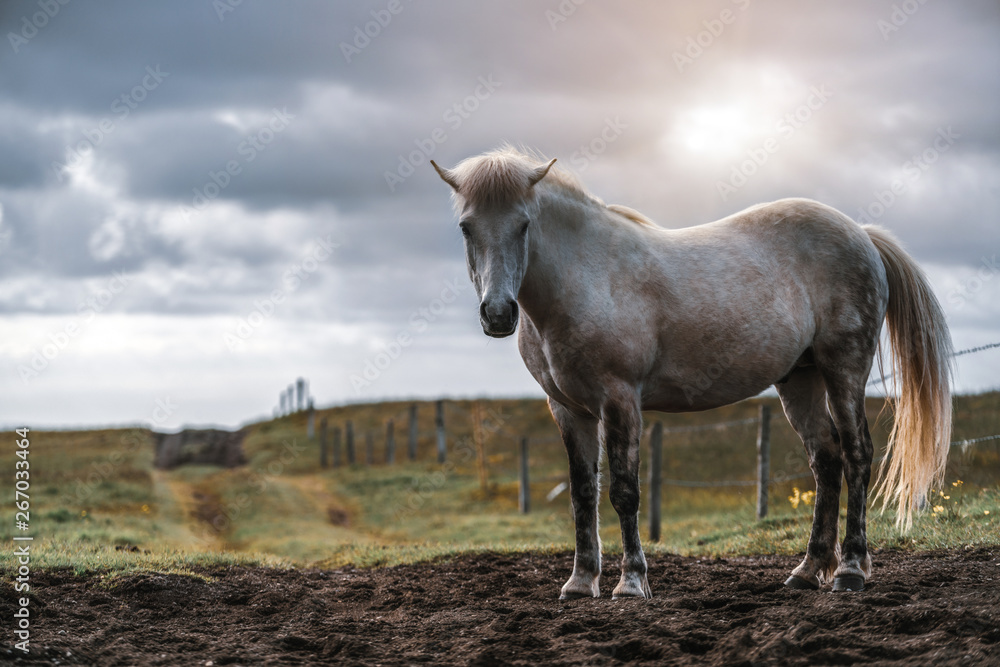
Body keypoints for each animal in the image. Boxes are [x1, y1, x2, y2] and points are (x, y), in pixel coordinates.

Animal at [432, 147, 952, 600]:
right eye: (466, 227)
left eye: (523, 225)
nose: (498, 314)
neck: (585, 278)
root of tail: (861, 233)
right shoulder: (568, 409)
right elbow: (583, 494)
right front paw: (580, 583)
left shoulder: (620, 400)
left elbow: (623, 492)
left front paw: (631, 583)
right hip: (799, 380)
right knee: (826, 461)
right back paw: (807, 572)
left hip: (844, 369)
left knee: (858, 454)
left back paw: (850, 571)